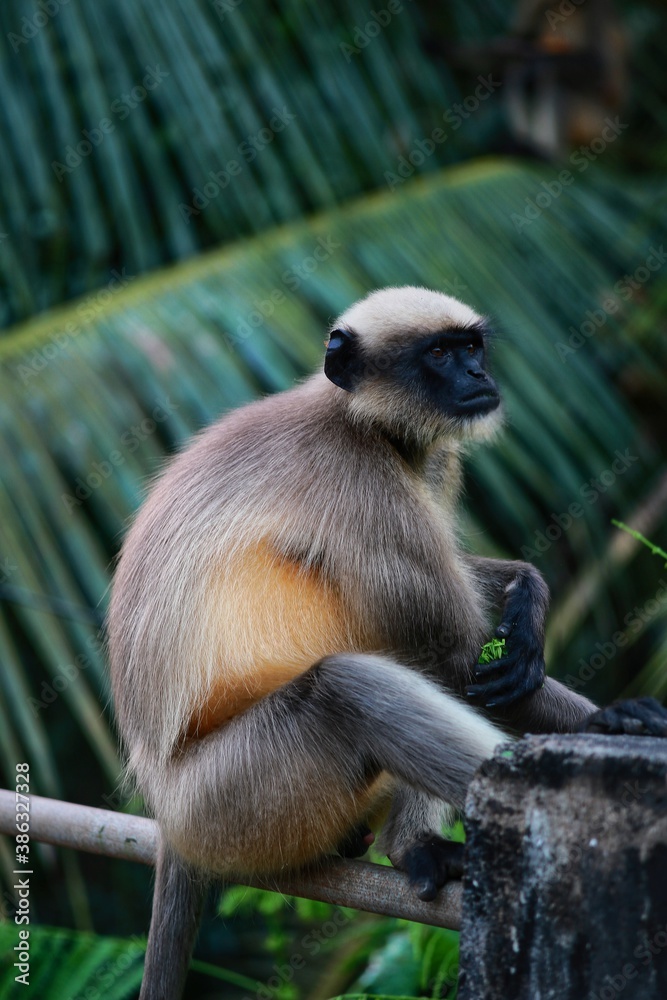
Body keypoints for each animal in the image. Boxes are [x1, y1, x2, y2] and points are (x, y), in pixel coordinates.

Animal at [107, 285, 667, 1000]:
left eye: (471, 348)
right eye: (439, 355)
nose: (477, 374)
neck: (360, 419)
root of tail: (168, 821)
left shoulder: (430, 460)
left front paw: (528, 593)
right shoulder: (357, 476)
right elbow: (454, 658)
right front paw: (613, 719)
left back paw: (415, 850)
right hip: (227, 805)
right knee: (354, 685)